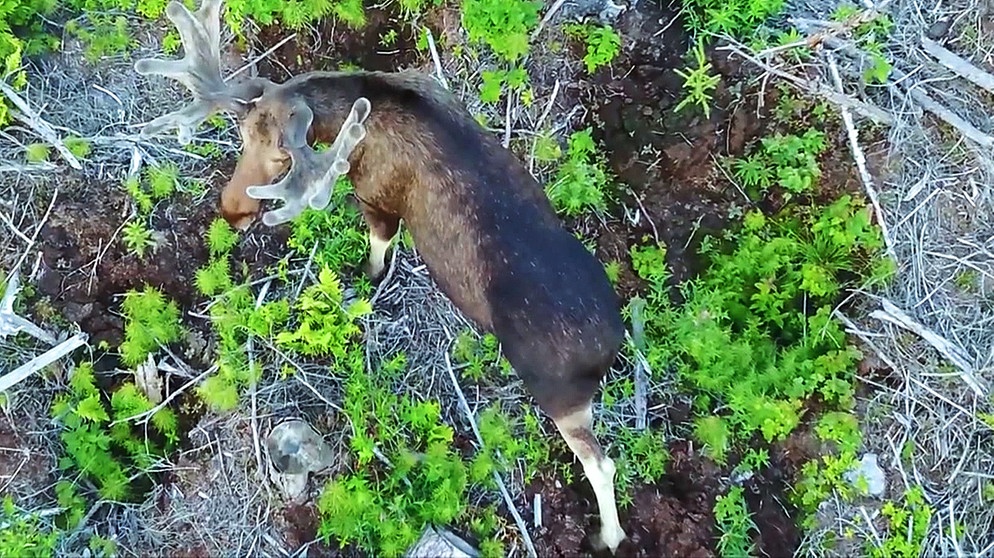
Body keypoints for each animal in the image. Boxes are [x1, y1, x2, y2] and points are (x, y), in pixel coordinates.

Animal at [134, 0, 628, 552]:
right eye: (241, 135)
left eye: (282, 157)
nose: (233, 210)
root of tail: (609, 349)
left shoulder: (376, 195)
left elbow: (378, 247)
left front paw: (366, 280)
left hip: (558, 391)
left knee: (603, 464)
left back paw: (606, 537)